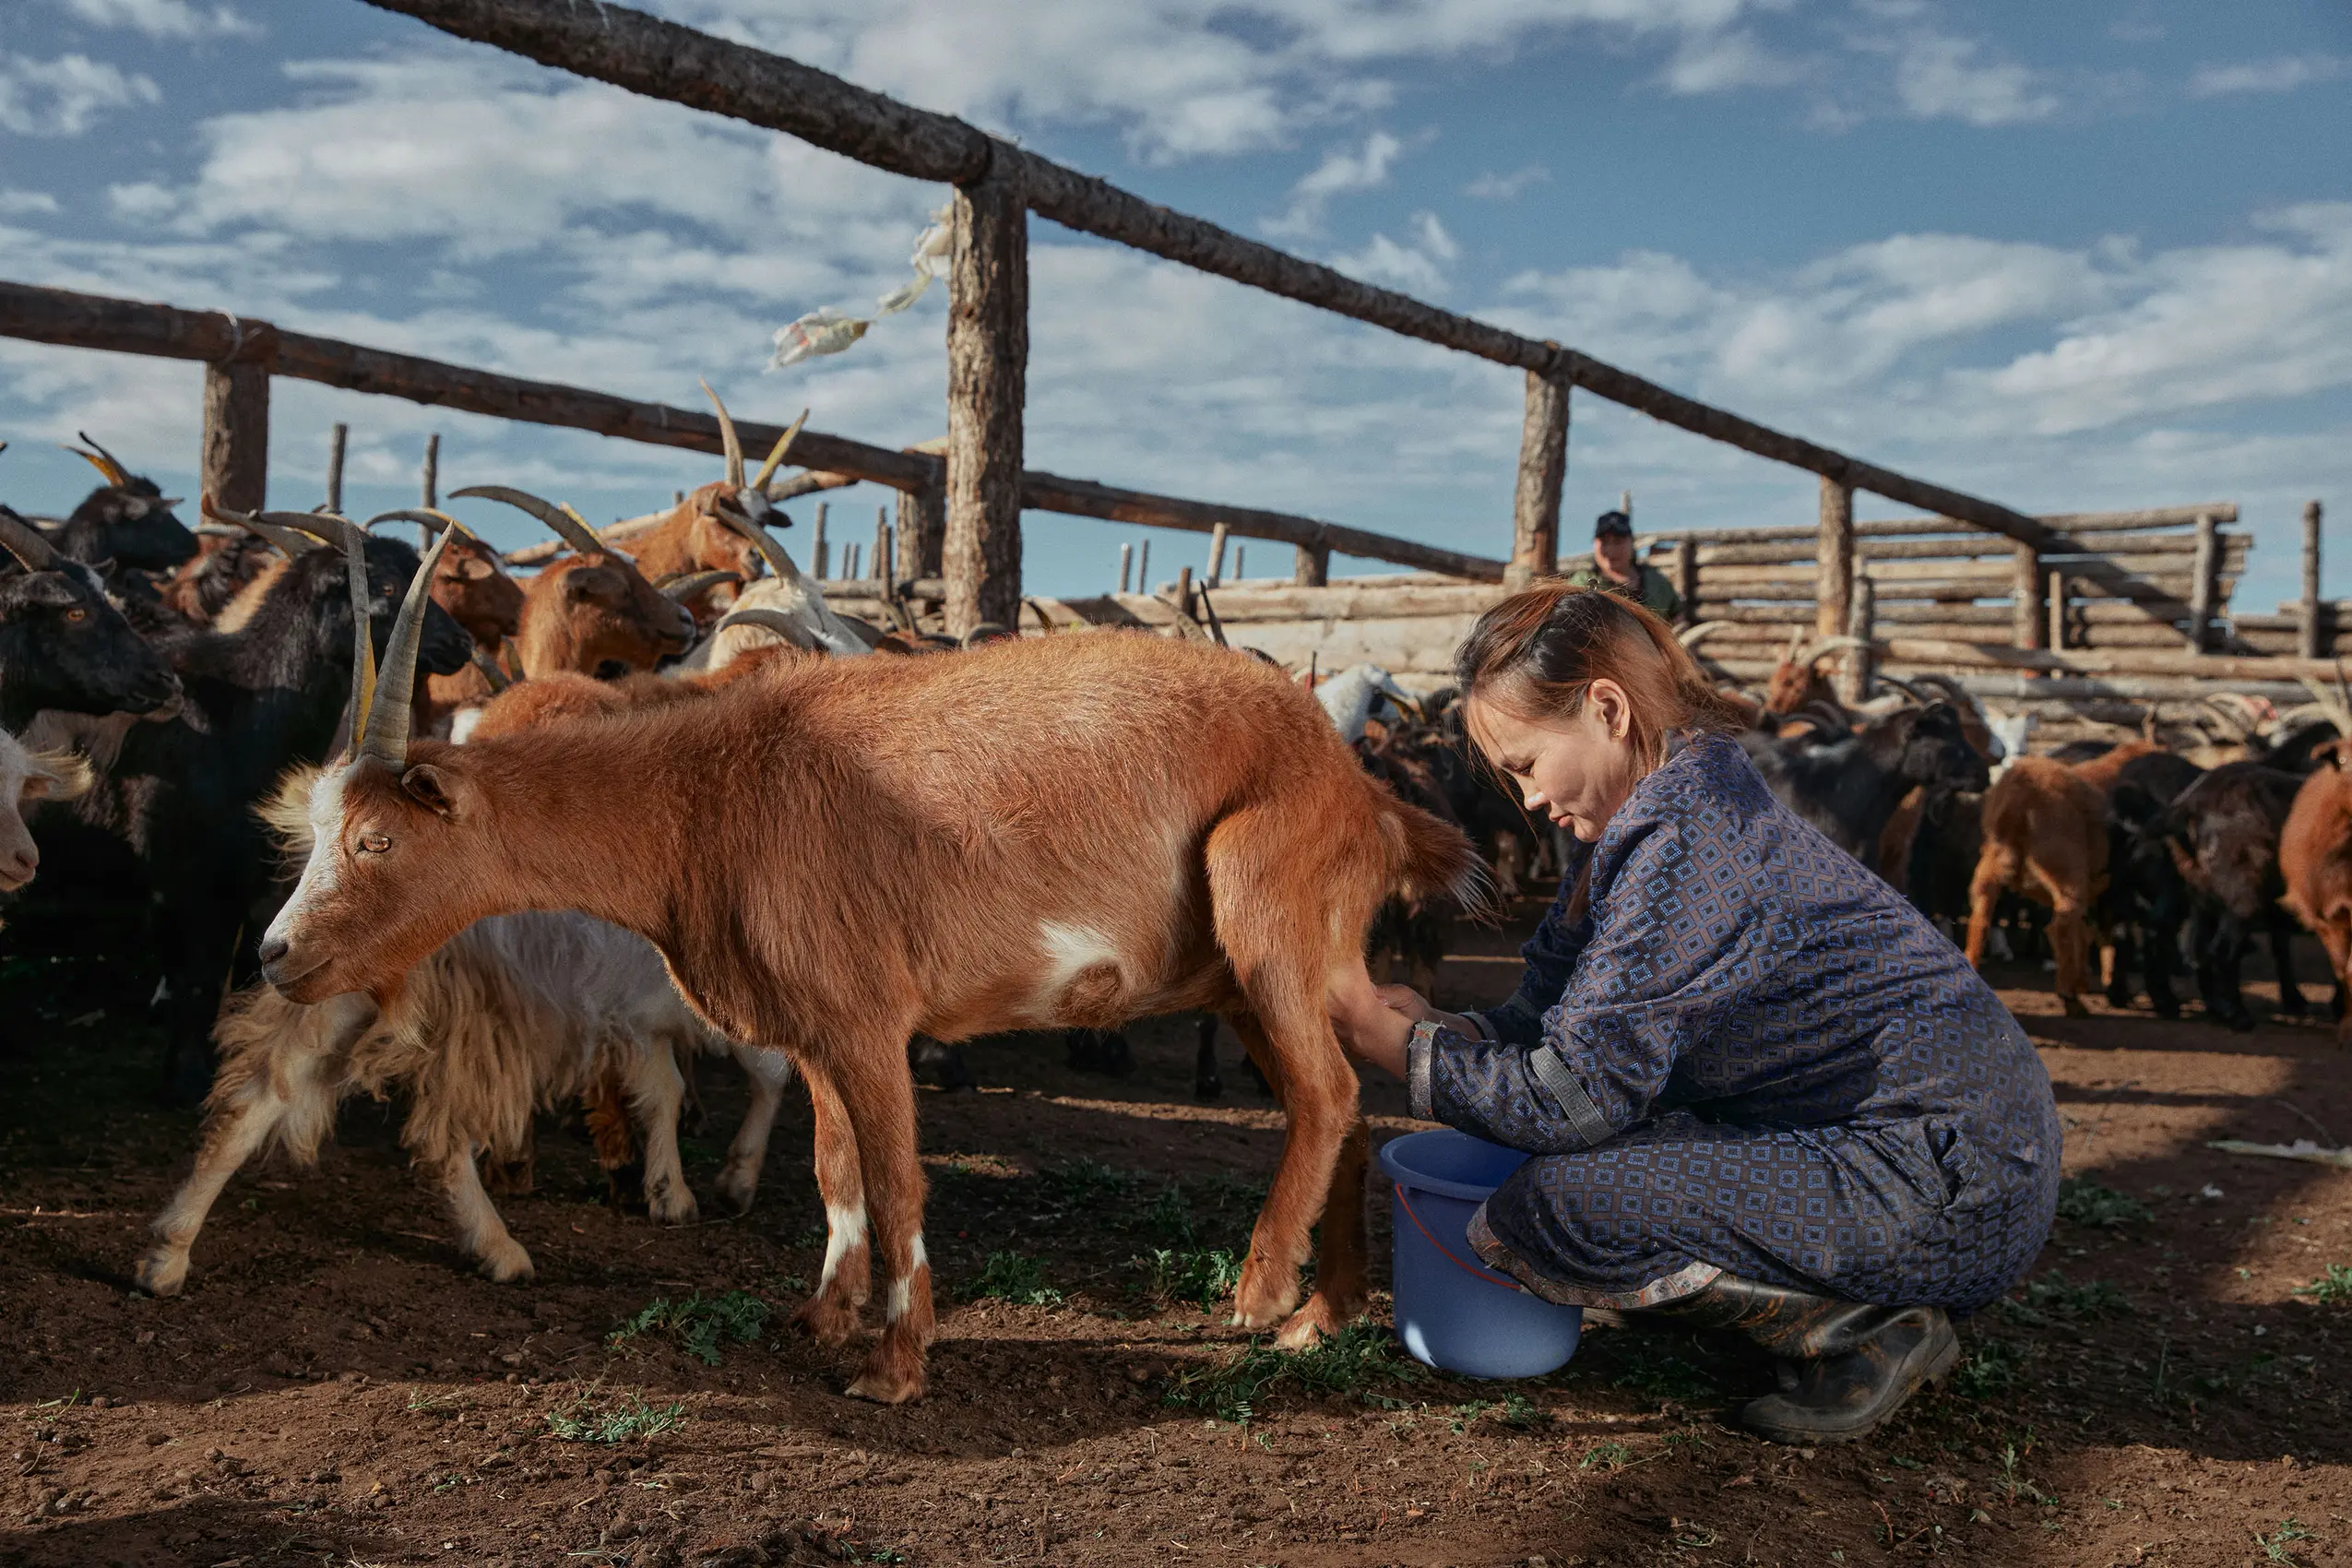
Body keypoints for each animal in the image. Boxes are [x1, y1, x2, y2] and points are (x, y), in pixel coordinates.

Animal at [33, 524, 468, 1090]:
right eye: (388, 587)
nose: (462, 643)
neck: (243, 712)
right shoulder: (190, 876)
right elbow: (197, 972)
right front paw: (188, 1077)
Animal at [137, 761, 790, 1297]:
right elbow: (764, 1074)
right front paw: (732, 1181)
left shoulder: (638, 1017)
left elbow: (663, 1092)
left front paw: (668, 1191)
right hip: (458, 1015)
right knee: (442, 1137)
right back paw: (499, 1248)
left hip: (332, 998)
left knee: (253, 1101)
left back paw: (165, 1256)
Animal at [253, 493, 1467, 1410]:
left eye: (375, 839)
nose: (274, 953)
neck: (705, 797)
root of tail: (1361, 785)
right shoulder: (816, 1027)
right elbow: (837, 1171)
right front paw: (823, 1315)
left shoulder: (873, 1019)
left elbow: (896, 1178)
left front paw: (895, 1363)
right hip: (1272, 971)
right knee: (1343, 1099)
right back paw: (1321, 1316)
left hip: (1264, 904)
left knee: (1325, 1091)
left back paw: (1259, 1293)